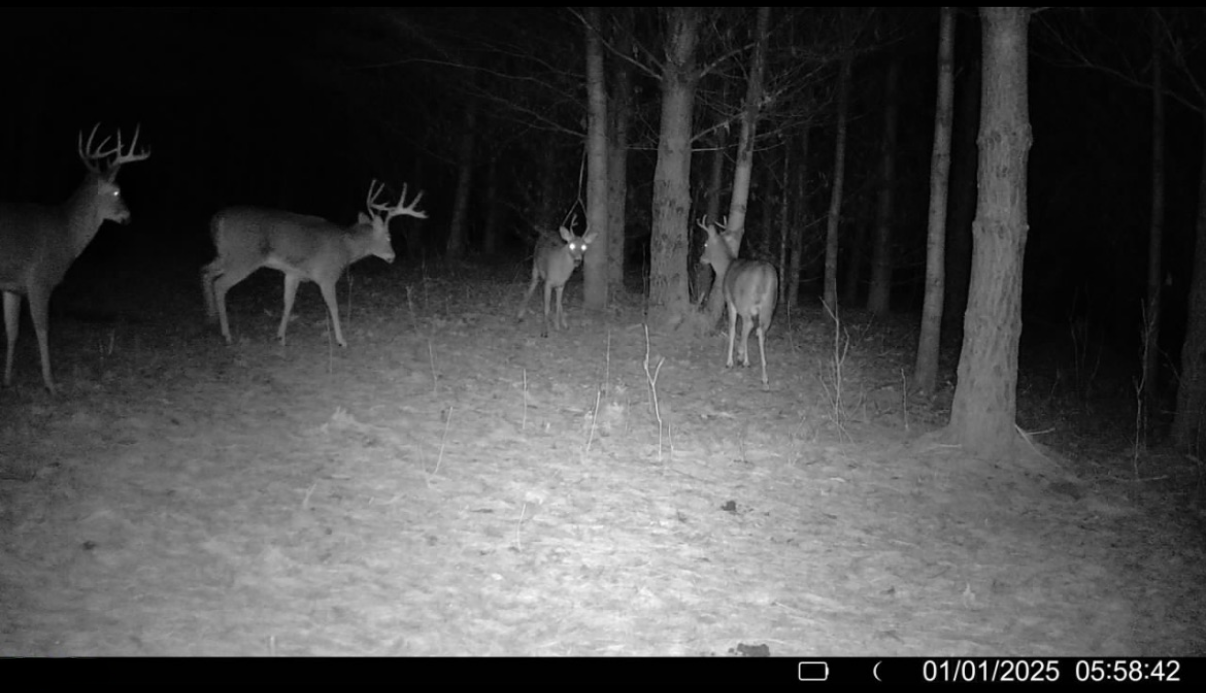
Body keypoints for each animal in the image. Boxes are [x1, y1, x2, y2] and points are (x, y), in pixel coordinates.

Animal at [0, 124, 151, 394]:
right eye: (117, 190)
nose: (128, 216)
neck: (66, 235)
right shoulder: (39, 280)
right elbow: (43, 330)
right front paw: (51, 384)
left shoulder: (12, 286)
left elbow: (13, 330)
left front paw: (6, 380)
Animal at [201, 180, 426, 347]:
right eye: (388, 237)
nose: (392, 256)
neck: (347, 249)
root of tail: (217, 220)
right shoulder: (327, 276)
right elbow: (333, 306)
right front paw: (342, 340)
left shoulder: (292, 273)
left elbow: (288, 302)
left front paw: (280, 336)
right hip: (244, 257)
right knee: (219, 284)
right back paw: (226, 334)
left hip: (225, 255)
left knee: (205, 271)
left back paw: (211, 316)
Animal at [697, 215, 779, 389]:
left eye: (705, 244)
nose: (701, 259)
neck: (726, 268)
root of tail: (765, 275)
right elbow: (743, 329)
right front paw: (746, 359)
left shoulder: (730, 301)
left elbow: (733, 328)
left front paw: (731, 361)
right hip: (769, 305)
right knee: (760, 330)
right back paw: (764, 377)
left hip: (745, 300)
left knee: (749, 325)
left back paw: (740, 356)